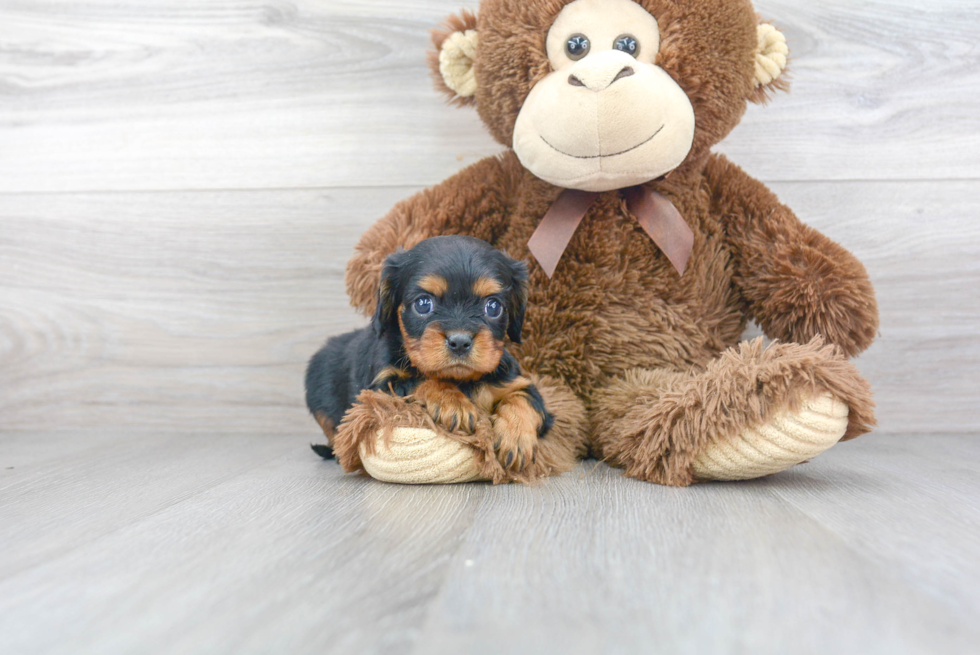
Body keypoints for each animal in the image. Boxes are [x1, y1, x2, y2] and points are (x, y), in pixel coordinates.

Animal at [306, 236, 552, 472]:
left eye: (493, 307)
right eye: (423, 304)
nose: (460, 341)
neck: (461, 381)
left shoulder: (515, 382)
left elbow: (524, 398)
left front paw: (516, 437)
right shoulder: (382, 387)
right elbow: (422, 379)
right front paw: (452, 403)